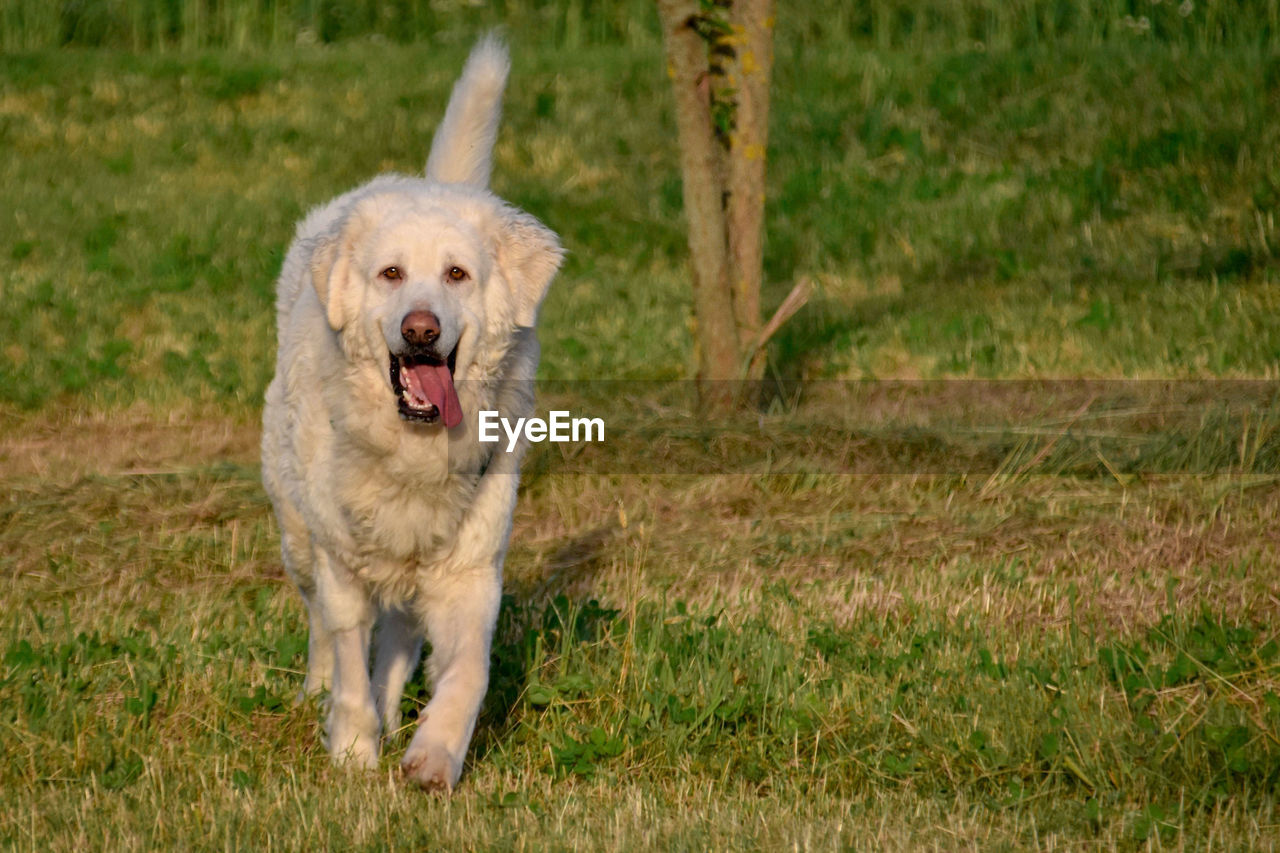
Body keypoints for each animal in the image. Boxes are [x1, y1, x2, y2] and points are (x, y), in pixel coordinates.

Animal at [259, 36, 560, 788]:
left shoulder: (471, 572)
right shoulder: (340, 563)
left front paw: (432, 754)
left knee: (397, 639)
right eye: (391, 273)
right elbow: (345, 653)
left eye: (457, 274)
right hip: (298, 533)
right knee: (322, 628)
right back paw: (320, 698)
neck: (414, 452)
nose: (420, 330)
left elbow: (467, 671)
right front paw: (352, 749)